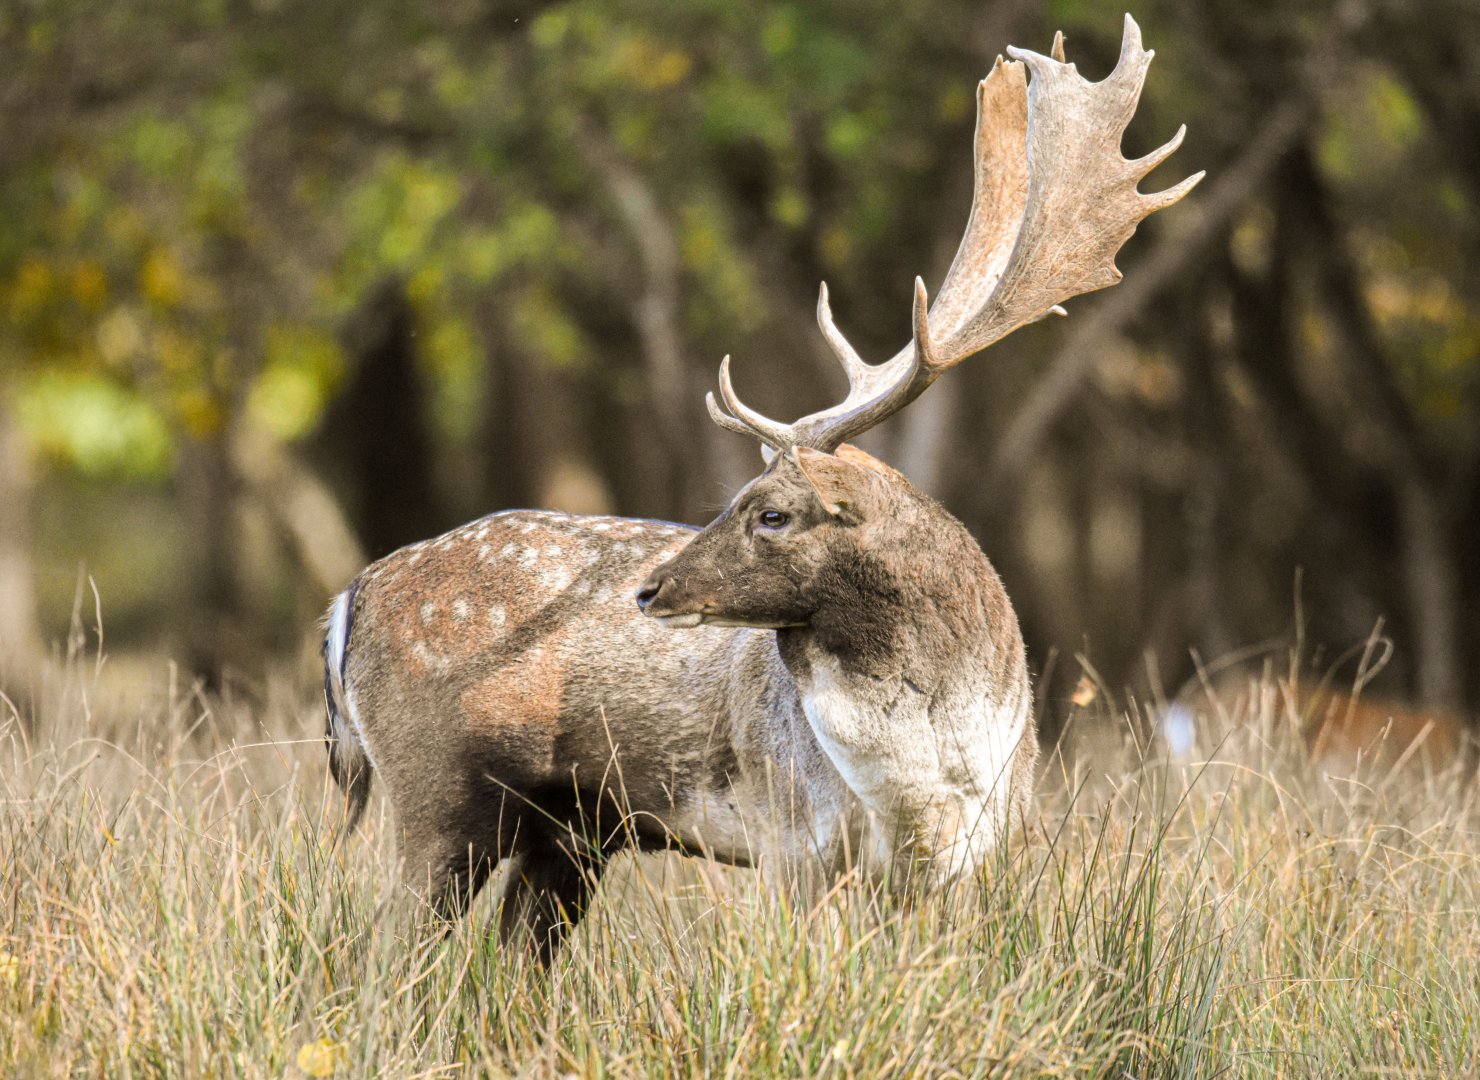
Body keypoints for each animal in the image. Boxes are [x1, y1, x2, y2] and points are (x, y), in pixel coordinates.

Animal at [321, 14, 1201, 964]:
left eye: (772, 512)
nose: (651, 589)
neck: (933, 775)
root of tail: (348, 598)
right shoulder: (793, 840)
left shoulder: (969, 859)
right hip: (438, 793)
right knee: (386, 956)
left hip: (569, 833)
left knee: (513, 962)